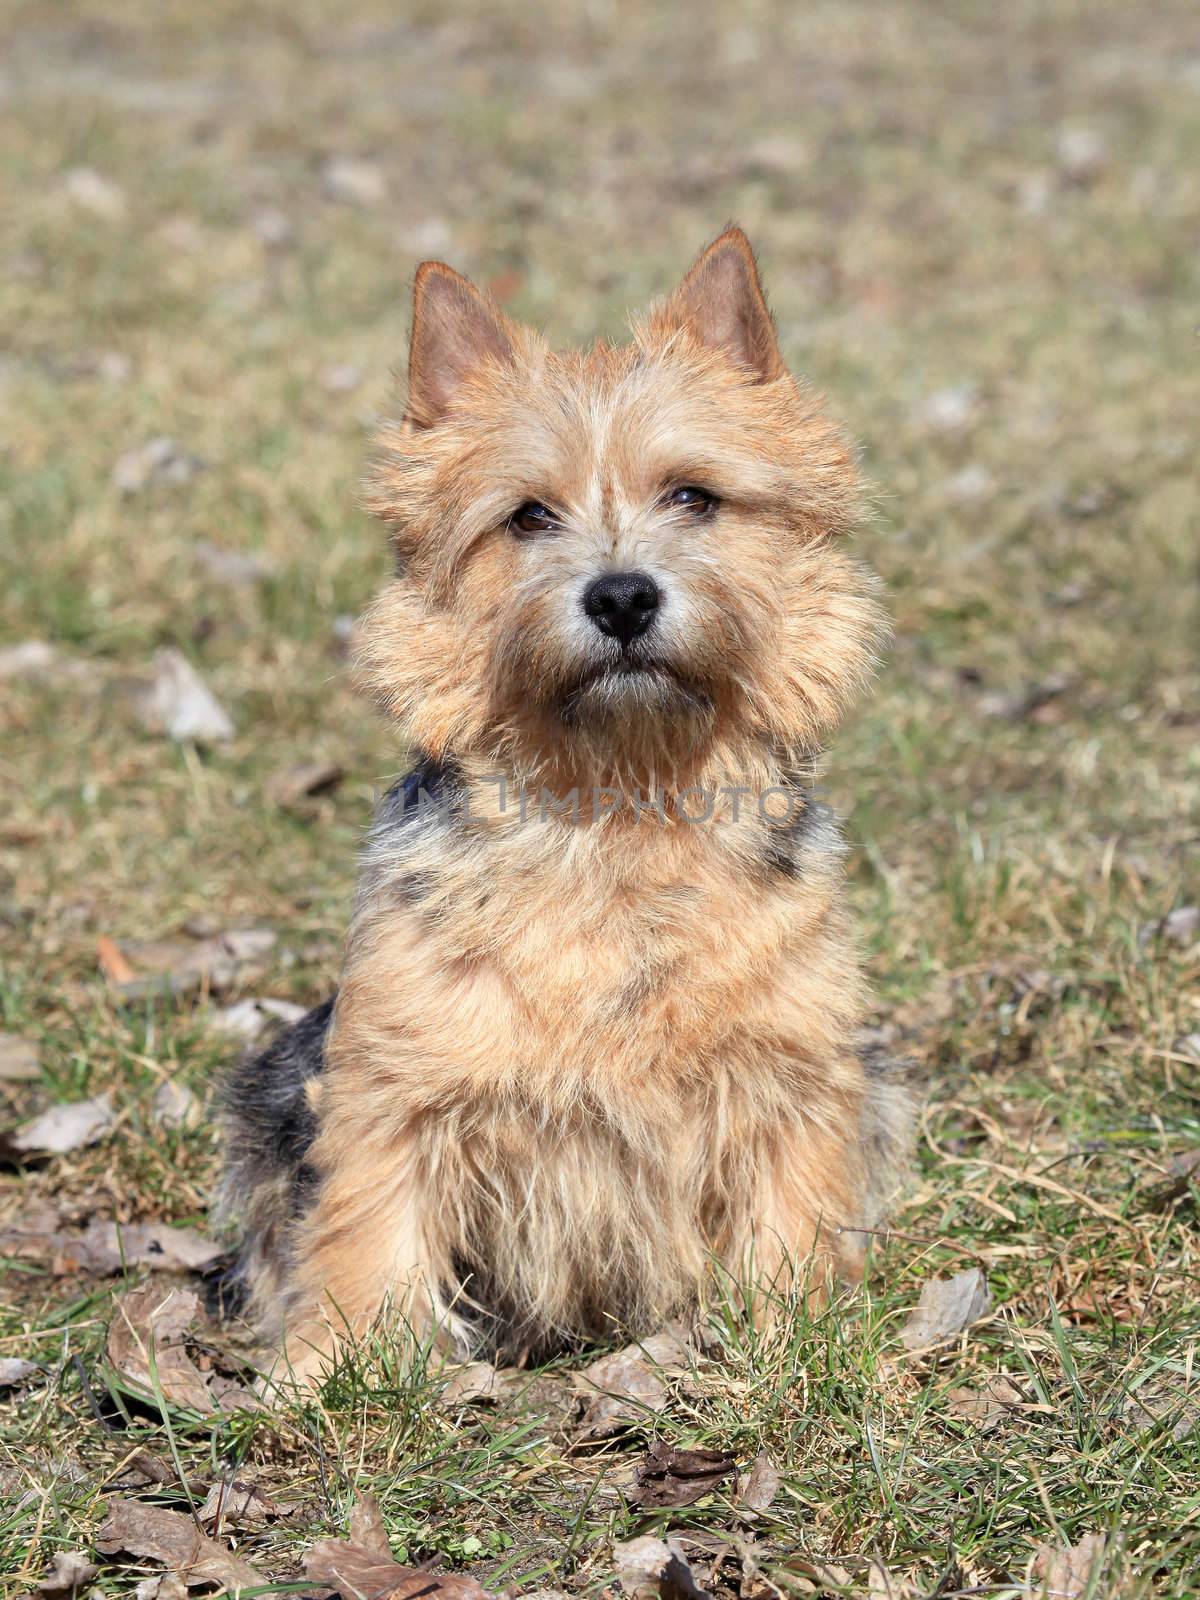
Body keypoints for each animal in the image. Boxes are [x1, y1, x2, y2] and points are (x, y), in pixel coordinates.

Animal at [219, 225, 908, 1388]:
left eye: (694, 497)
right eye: (527, 516)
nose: (621, 595)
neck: (623, 796)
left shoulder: (789, 1070)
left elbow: (792, 1205)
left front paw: (789, 1339)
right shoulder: (392, 1082)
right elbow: (367, 1222)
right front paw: (344, 1371)